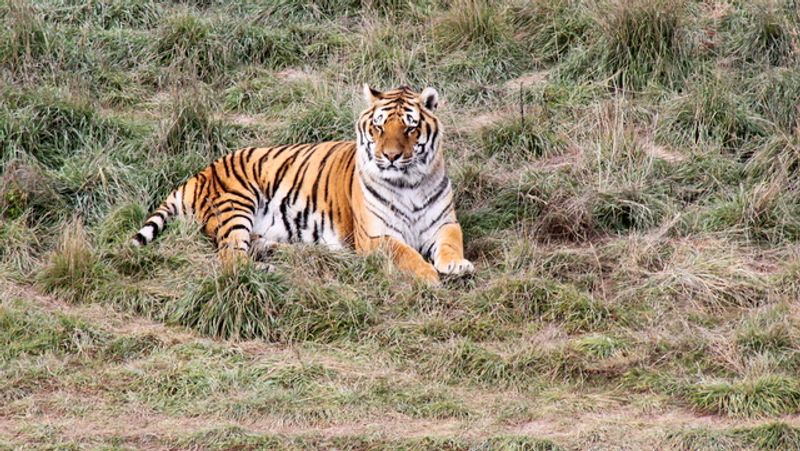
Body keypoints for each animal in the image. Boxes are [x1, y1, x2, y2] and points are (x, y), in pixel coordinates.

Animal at [131, 85, 474, 283]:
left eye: (409, 129)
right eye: (378, 128)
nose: (389, 157)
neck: (409, 183)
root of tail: (201, 172)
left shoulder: (445, 223)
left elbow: (451, 244)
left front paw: (456, 265)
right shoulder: (377, 236)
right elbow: (406, 254)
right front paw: (429, 275)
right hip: (236, 204)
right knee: (229, 259)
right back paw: (266, 269)